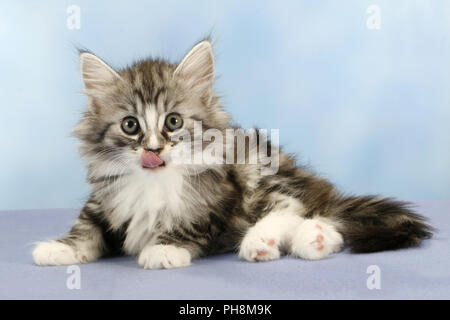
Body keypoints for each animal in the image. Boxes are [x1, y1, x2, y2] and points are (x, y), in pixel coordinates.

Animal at [31, 40, 432, 270]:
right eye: (131, 125)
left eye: (173, 121)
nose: (154, 149)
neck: (154, 181)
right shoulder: (104, 201)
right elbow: (86, 228)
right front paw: (59, 249)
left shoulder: (214, 203)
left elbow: (185, 225)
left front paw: (163, 250)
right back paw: (314, 241)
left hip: (258, 170)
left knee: (293, 207)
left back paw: (263, 240)